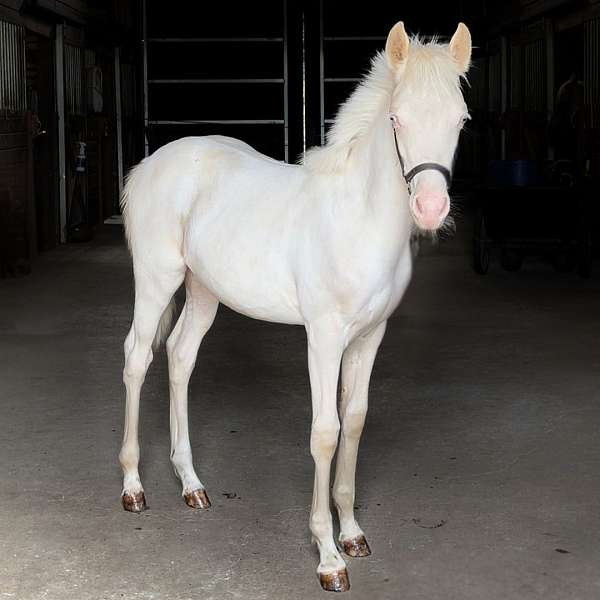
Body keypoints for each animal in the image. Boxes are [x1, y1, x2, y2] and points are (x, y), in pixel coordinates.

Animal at [119, 22, 472, 592]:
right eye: (396, 118)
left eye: (460, 119)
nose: (430, 209)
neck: (359, 218)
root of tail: (150, 164)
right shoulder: (323, 336)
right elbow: (325, 432)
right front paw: (328, 556)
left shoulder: (371, 335)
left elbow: (355, 420)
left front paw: (352, 533)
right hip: (156, 280)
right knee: (137, 358)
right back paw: (132, 486)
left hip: (203, 291)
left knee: (179, 357)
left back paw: (191, 483)